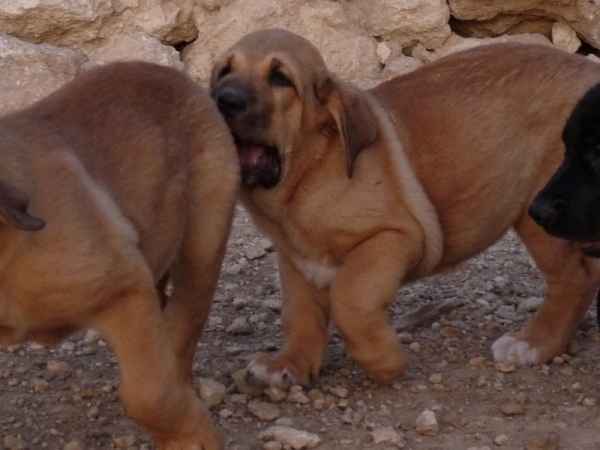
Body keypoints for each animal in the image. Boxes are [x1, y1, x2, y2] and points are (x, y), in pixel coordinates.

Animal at [0, 61, 239, 448]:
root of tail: (173, 74)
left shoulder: (125, 291)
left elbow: (150, 395)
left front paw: (192, 438)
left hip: (202, 249)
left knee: (184, 324)